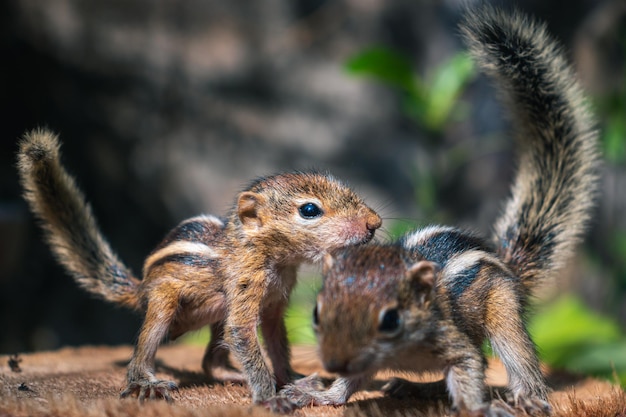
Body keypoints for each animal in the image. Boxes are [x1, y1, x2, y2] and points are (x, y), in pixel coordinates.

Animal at [17, 132, 380, 412]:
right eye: (309, 210)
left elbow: (277, 344)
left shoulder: (275, 306)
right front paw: (269, 397)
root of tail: (140, 287)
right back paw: (146, 382)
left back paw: (232, 375)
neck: (273, 258)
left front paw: (292, 380)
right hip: (163, 302)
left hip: (216, 313)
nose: (374, 223)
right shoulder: (245, 290)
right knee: (144, 348)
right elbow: (244, 337)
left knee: (210, 363)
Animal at [280, 4, 600, 414]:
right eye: (317, 313)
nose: (333, 361)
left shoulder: (452, 341)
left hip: (502, 310)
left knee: (514, 356)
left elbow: (469, 368)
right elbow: (347, 386)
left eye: (390, 319)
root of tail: (506, 262)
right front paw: (317, 393)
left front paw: (479, 407)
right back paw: (414, 386)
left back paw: (526, 397)